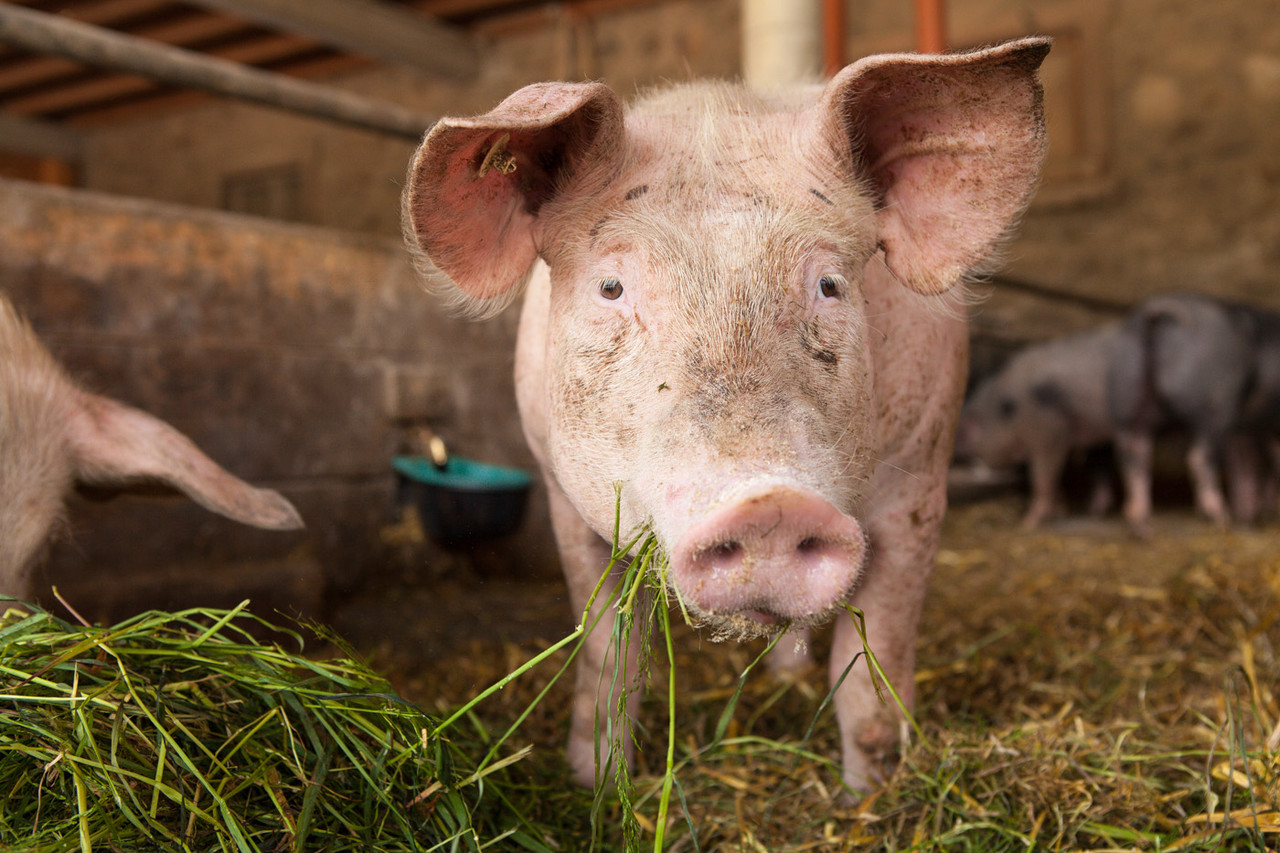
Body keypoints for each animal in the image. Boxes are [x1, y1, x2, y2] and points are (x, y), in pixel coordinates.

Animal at [402, 38, 1049, 793]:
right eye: (611, 286)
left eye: (830, 285)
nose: (767, 503)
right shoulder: (565, 501)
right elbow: (609, 658)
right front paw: (597, 786)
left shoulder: (922, 480)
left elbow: (874, 667)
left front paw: (872, 795)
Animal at [1108, 292, 1280, 535]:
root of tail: (1154, 313)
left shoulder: (1245, 430)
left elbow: (1243, 464)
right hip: (1215, 407)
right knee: (1199, 458)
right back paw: (1220, 520)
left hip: (1127, 400)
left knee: (1133, 459)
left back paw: (1142, 530)